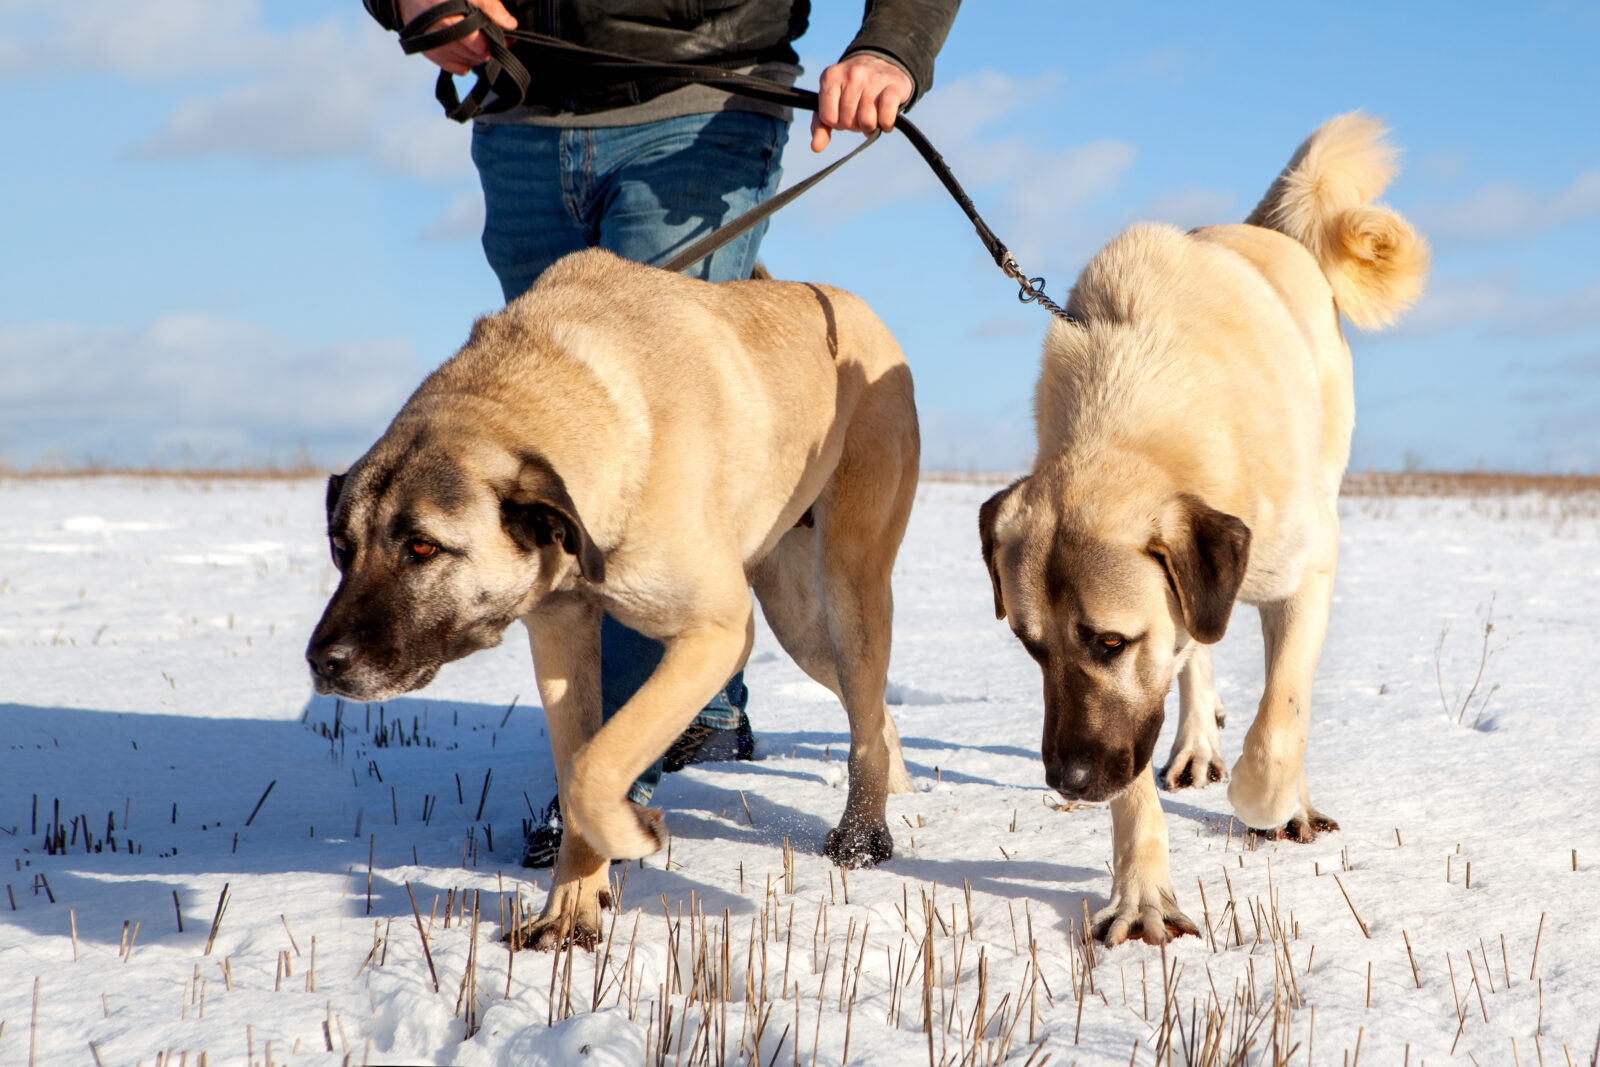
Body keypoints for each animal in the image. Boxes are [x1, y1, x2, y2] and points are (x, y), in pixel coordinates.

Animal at [305, 252, 921, 953]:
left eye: (423, 547)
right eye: (340, 547)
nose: (323, 662)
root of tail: (852, 307)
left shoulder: (715, 632)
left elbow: (592, 767)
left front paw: (631, 832)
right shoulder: (560, 636)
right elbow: (577, 762)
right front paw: (570, 910)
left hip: (848, 581)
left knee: (864, 692)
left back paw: (863, 835)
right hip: (798, 619)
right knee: (868, 705)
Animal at [979, 116, 1433, 947]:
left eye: (1109, 642)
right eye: (1031, 646)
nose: (1067, 781)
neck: (1139, 415)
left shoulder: (1305, 571)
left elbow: (1281, 721)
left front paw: (1270, 800)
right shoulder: (1137, 696)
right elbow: (1141, 768)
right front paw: (1142, 895)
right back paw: (1196, 741)